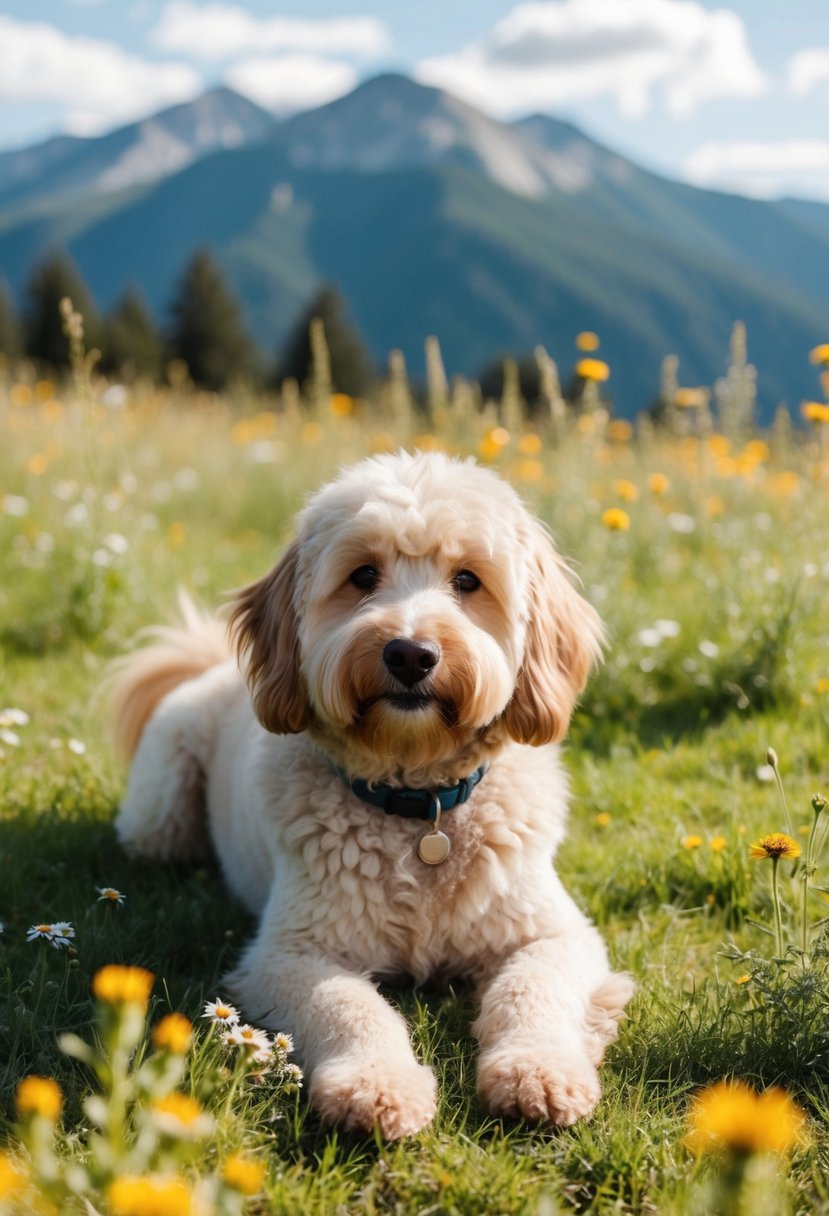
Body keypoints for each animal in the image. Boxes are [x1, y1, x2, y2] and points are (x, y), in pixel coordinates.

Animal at [113, 449, 627, 1138]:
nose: (410, 653)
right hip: (160, 812)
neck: (418, 810)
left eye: (468, 580)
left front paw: (538, 1068)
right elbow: (350, 1005)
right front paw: (376, 1084)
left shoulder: (555, 934)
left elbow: (532, 987)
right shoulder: (293, 953)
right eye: (362, 575)